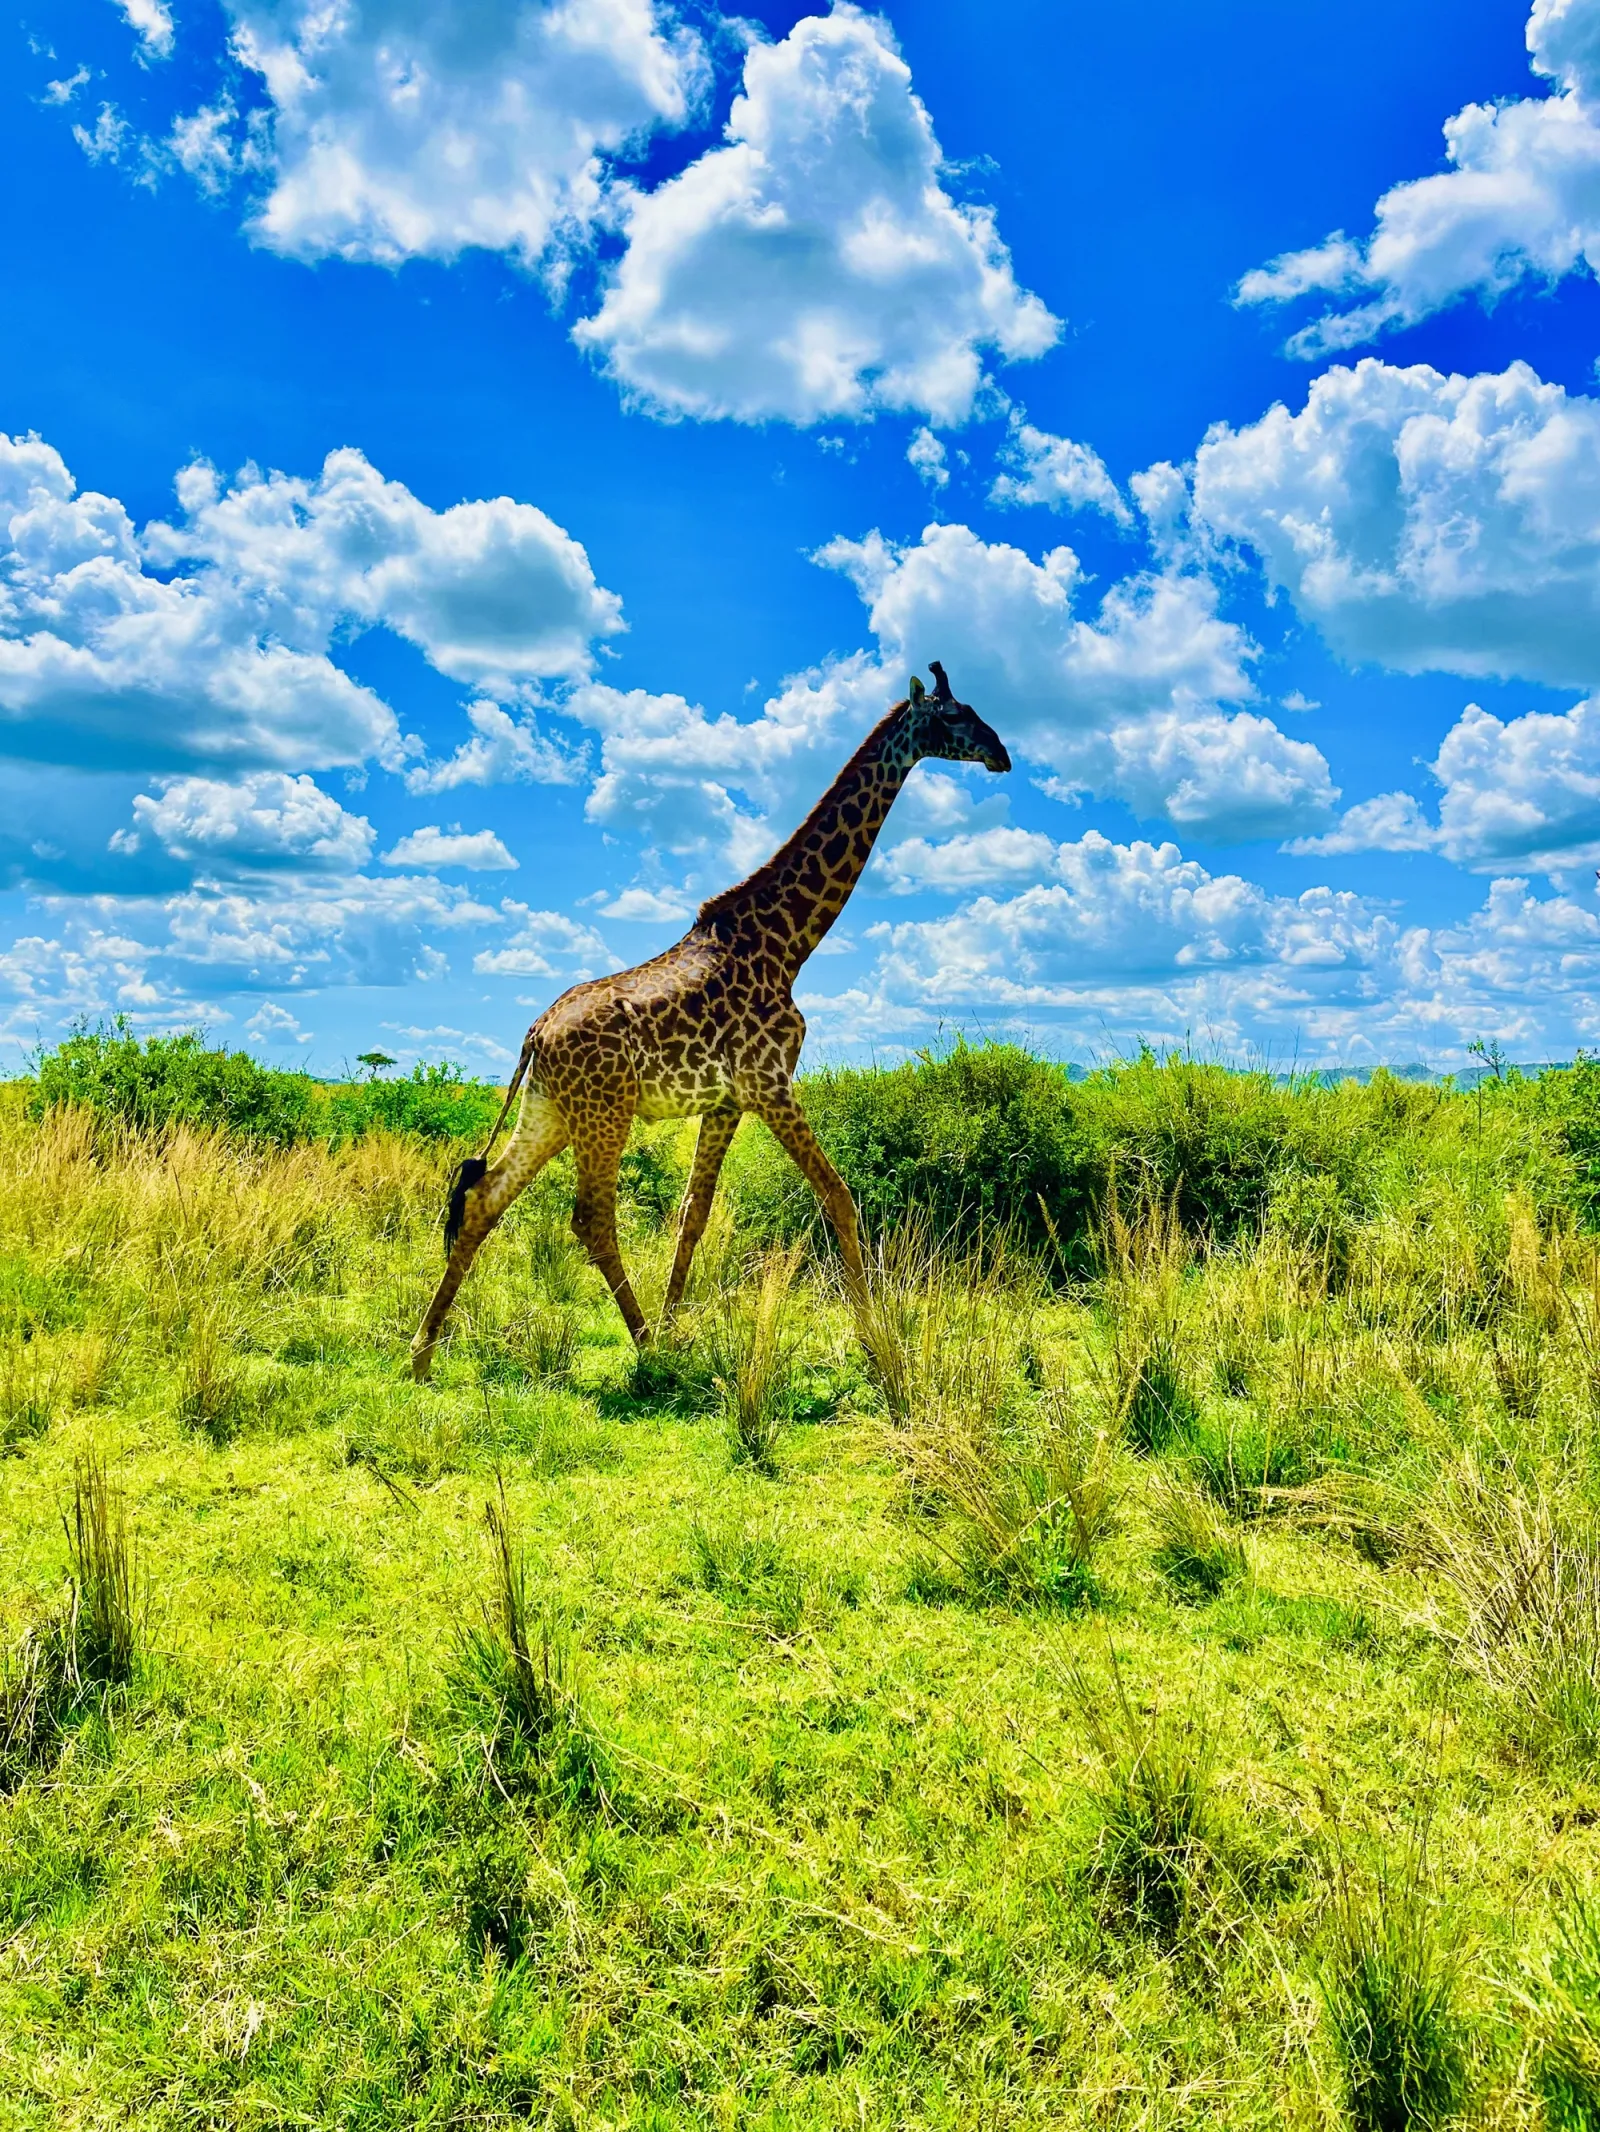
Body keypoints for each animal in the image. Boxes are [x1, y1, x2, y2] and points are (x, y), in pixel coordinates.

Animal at [410, 662, 1010, 1380]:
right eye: (953, 715)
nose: (1002, 753)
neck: (787, 945)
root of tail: (537, 1030)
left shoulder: (726, 1101)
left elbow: (693, 1213)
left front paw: (678, 1327)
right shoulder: (769, 1083)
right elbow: (838, 1197)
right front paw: (878, 1342)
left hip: (550, 1111)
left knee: (483, 1200)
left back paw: (422, 1352)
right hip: (604, 1113)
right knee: (590, 1218)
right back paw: (643, 1346)